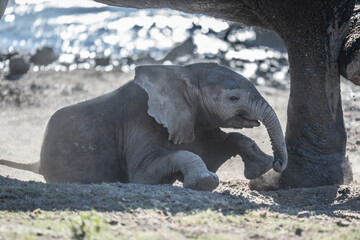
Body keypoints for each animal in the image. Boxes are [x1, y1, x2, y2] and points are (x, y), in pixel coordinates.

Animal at [0, 62, 286, 190]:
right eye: (233, 99)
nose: (279, 165)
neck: (183, 72)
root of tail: (37, 163)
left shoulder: (193, 118)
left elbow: (224, 144)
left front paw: (261, 168)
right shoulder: (140, 123)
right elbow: (144, 175)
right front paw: (205, 182)